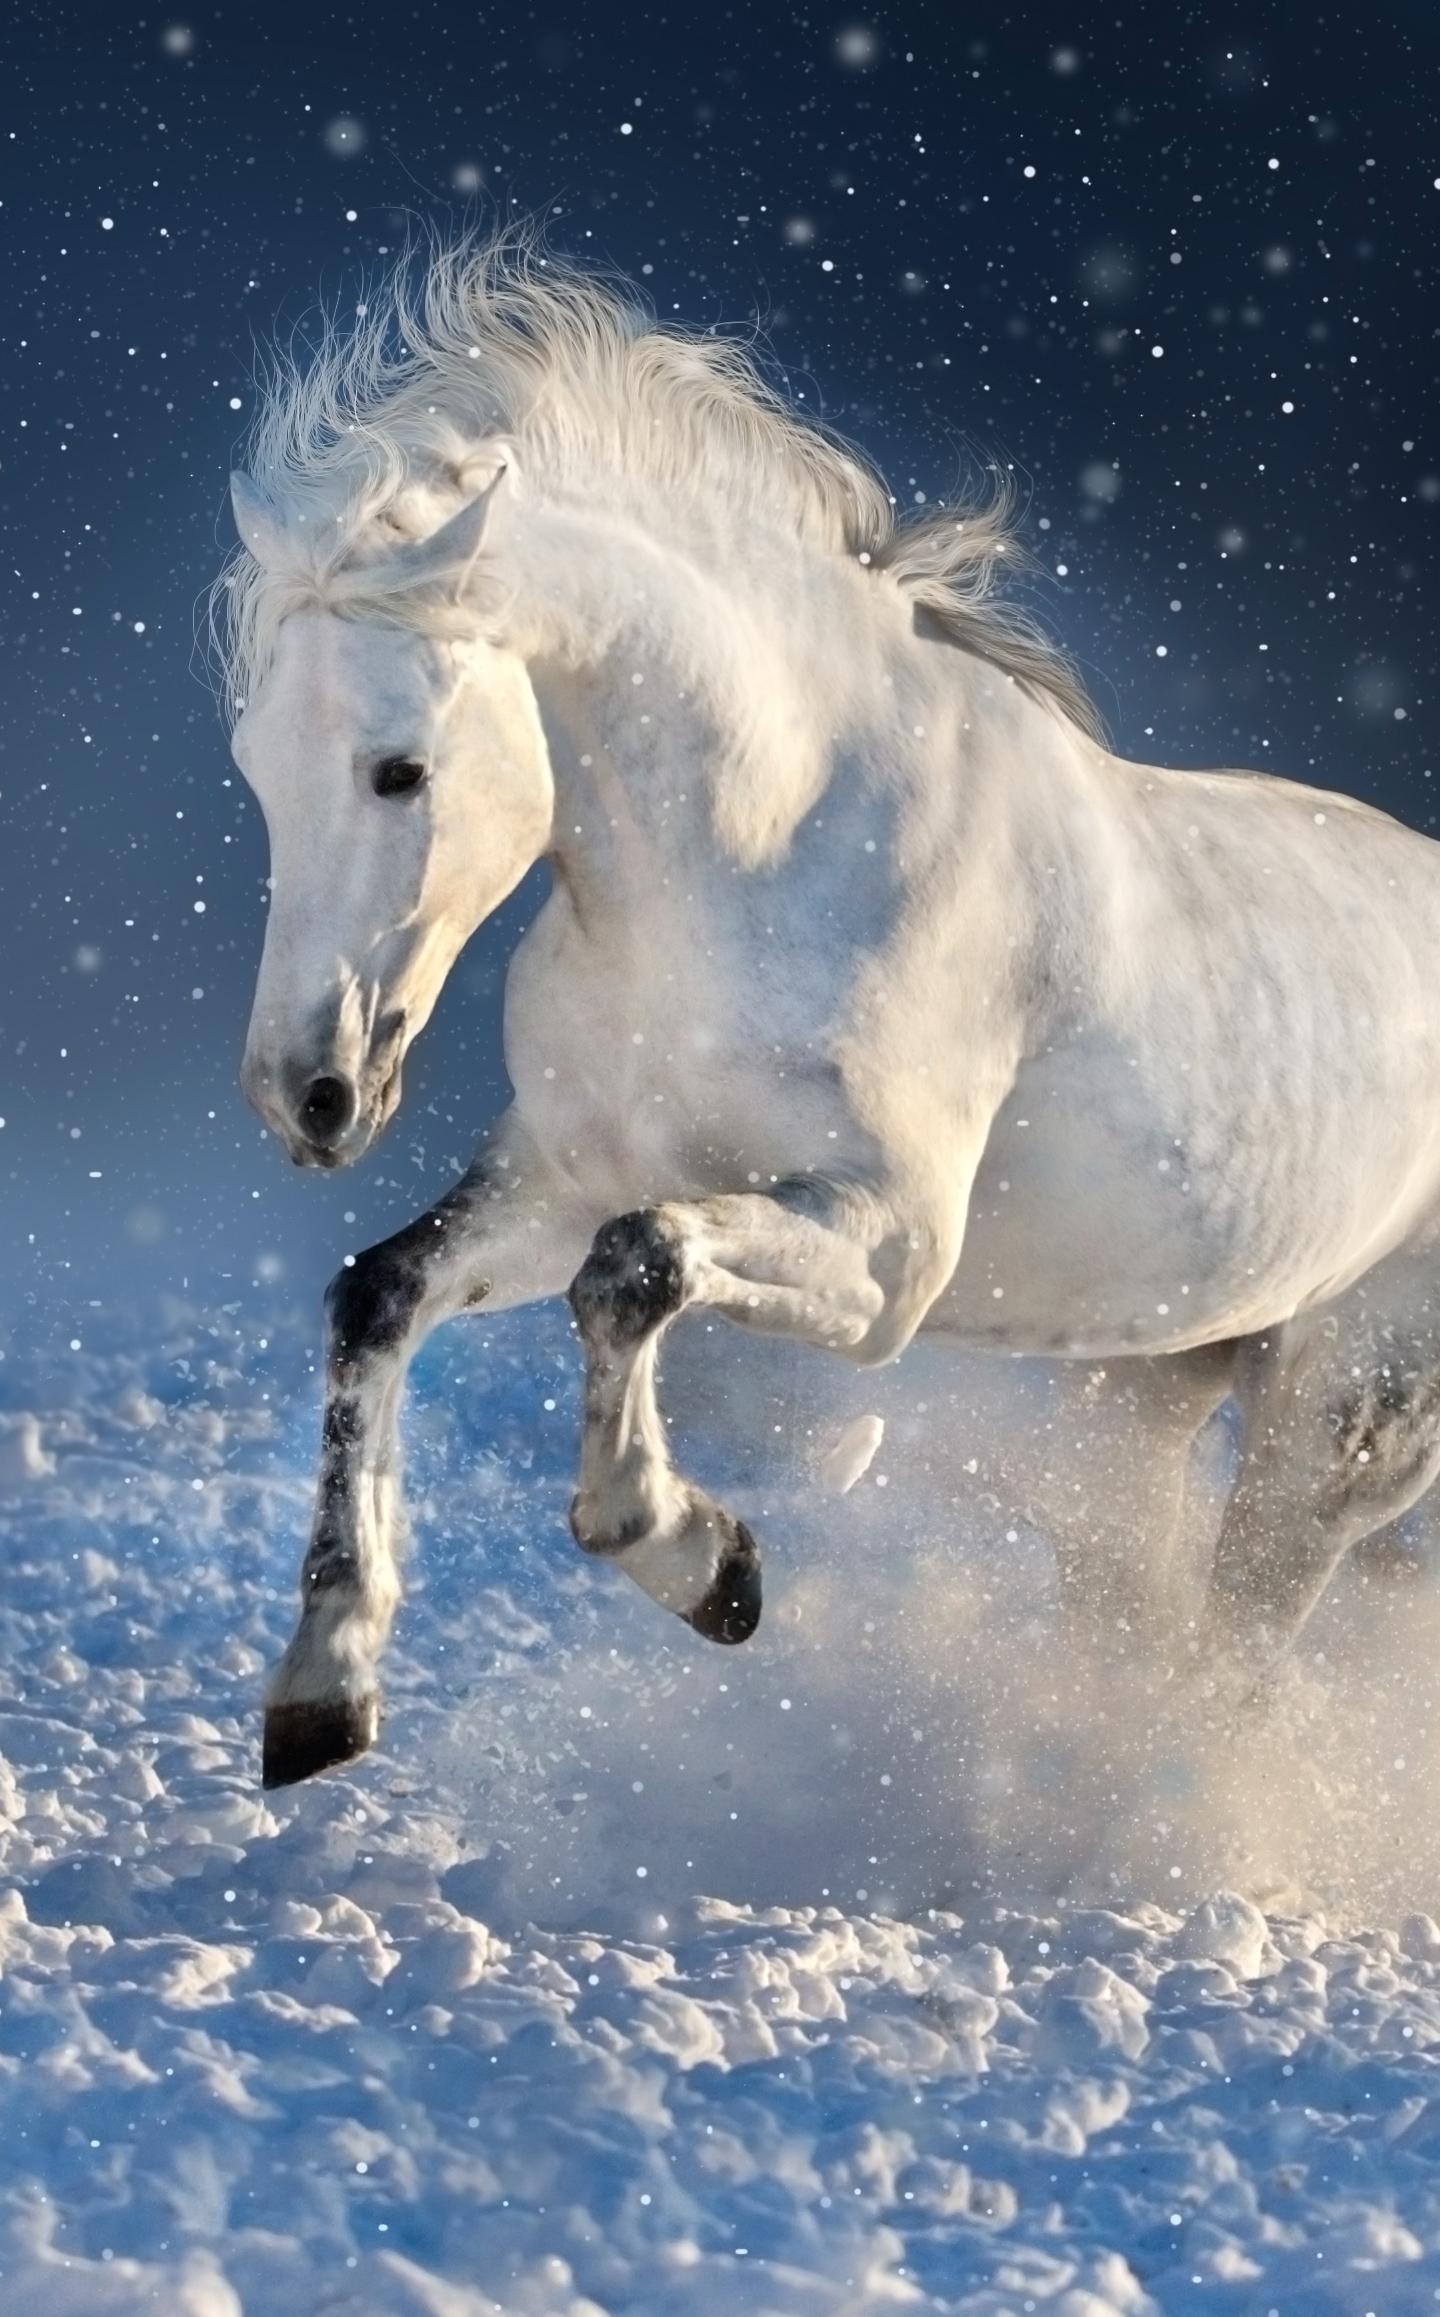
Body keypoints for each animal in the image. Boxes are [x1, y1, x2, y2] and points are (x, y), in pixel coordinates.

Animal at [213, 232, 1440, 1791]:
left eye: (399, 768)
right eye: (257, 762)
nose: (304, 1093)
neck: (769, 855)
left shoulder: (889, 1252)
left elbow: (638, 1270)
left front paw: (703, 1560)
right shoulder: (562, 1179)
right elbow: (382, 1293)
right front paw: (326, 1681)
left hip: (1344, 1420)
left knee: (1234, 1656)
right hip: (1143, 1390)